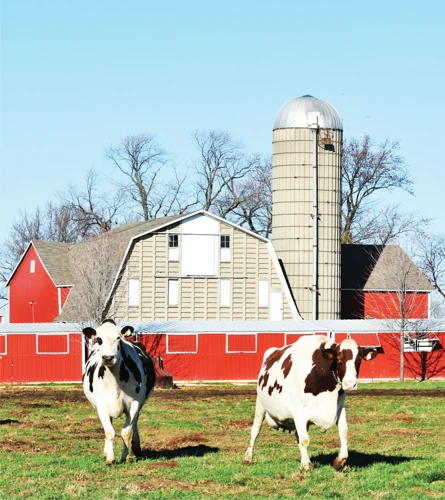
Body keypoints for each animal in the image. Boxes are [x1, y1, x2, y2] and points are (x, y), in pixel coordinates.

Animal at [82, 320, 155, 464]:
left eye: (118, 338)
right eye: (99, 339)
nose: (108, 357)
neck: (114, 382)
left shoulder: (134, 404)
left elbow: (126, 432)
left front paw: (125, 457)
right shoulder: (101, 406)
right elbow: (109, 432)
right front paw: (110, 458)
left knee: (135, 424)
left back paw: (136, 449)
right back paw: (106, 452)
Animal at [245, 336, 376, 472]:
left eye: (359, 360)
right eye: (339, 359)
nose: (350, 384)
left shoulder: (339, 407)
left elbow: (344, 432)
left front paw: (340, 461)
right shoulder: (298, 411)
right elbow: (304, 440)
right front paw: (305, 466)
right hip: (260, 404)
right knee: (255, 430)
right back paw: (248, 458)